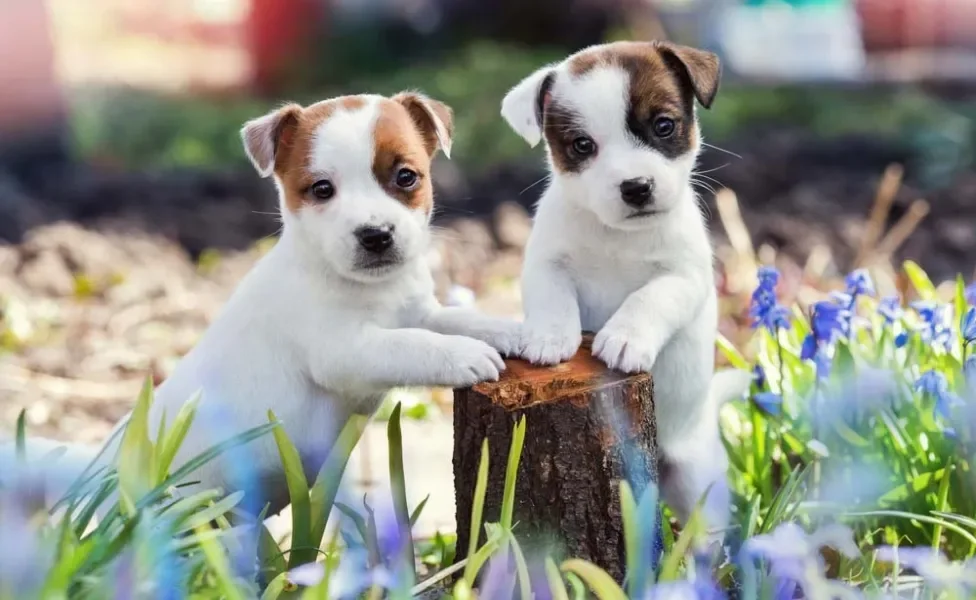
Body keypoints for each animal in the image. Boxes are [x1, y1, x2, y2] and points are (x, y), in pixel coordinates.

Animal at [3, 92, 524, 516]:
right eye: (321, 189)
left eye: (406, 177)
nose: (375, 235)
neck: (369, 287)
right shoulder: (345, 350)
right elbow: (411, 344)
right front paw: (463, 355)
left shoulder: (420, 311)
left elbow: (456, 319)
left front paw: (512, 330)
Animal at [500, 41, 752, 540]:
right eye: (583, 145)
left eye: (663, 125)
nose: (636, 187)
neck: (617, 234)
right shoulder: (545, 264)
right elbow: (552, 297)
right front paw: (549, 337)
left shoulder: (684, 277)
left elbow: (647, 298)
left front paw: (624, 338)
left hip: (696, 482)